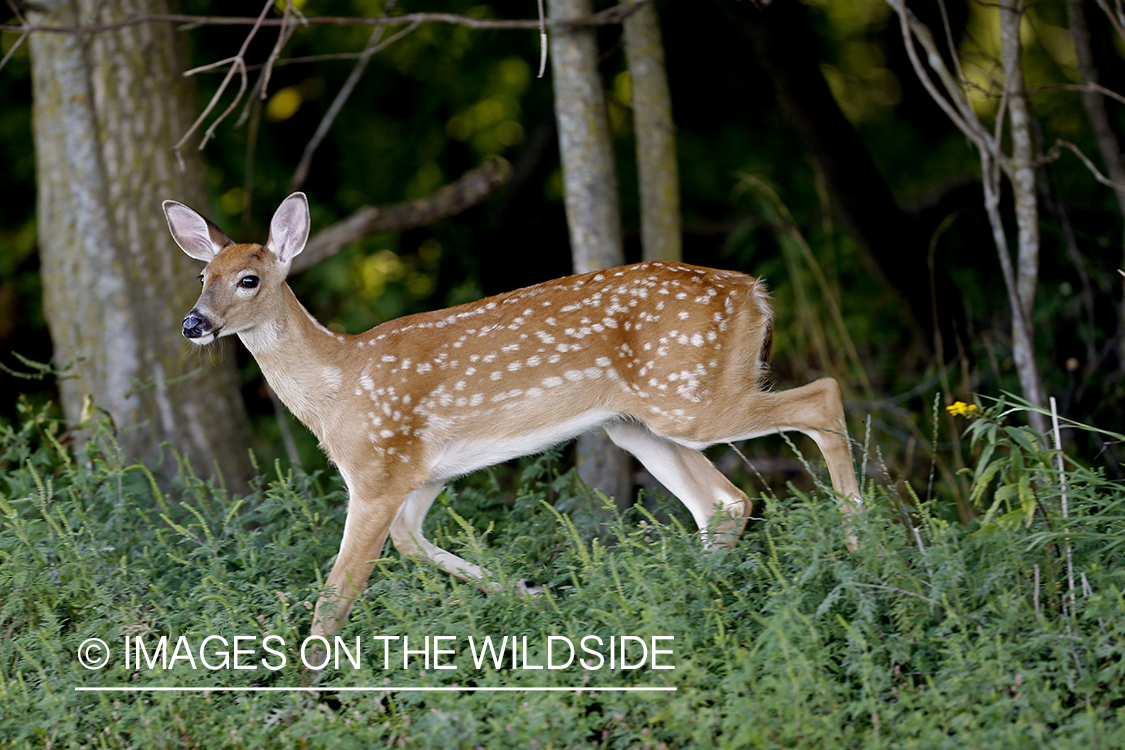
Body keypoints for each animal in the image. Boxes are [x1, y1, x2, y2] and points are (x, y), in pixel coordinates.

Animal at [163, 192, 864, 654]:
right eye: (202, 274)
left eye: (249, 279)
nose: (193, 323)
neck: (338, 385)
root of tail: (755, 291)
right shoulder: (422, 474)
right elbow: (412, 543)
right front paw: (533, 597)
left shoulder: (377, 468)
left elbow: (336, 595)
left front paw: (308, 689)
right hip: (639, 421)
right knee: (727, 501)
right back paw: (676, 605)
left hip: (691, 397)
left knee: (822, 397)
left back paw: (861, 546)